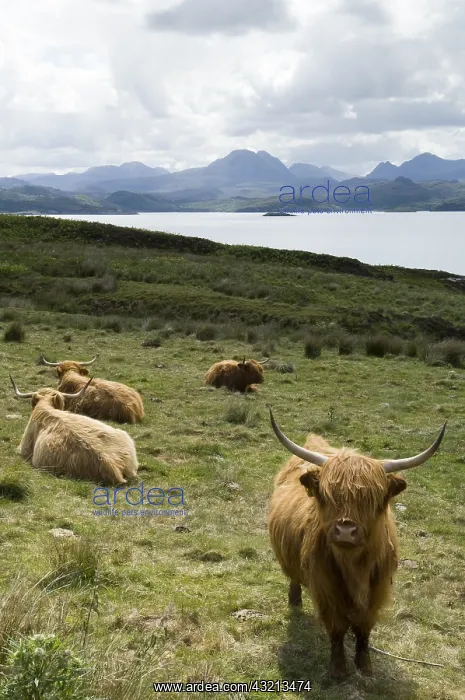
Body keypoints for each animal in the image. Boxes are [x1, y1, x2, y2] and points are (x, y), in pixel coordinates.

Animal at [267, 408, 446, 680]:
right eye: (327, 495)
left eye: (371, 498)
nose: (345, 531)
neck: (354, 568)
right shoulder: (326, 588)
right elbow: (337, 628)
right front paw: (338, 669)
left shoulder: (378, 589)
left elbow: (364, 627)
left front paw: (365, 666)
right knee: (294, 578)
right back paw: (295, 600)